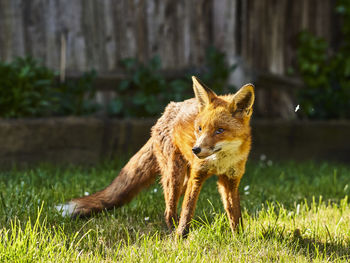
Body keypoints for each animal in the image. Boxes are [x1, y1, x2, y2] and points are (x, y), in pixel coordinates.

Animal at [56, 76, 254, 237]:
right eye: (199, 128)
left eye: (219, 131)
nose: (195, 150)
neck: (221, 161)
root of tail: (165, 112)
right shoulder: (197, 176)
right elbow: (188, 210)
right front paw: (181, 237)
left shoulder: (230, 180)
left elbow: (234, 214)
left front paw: (238, 238)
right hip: (175, 176)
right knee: (169, 211)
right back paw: (172, 232)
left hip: (182, 180)